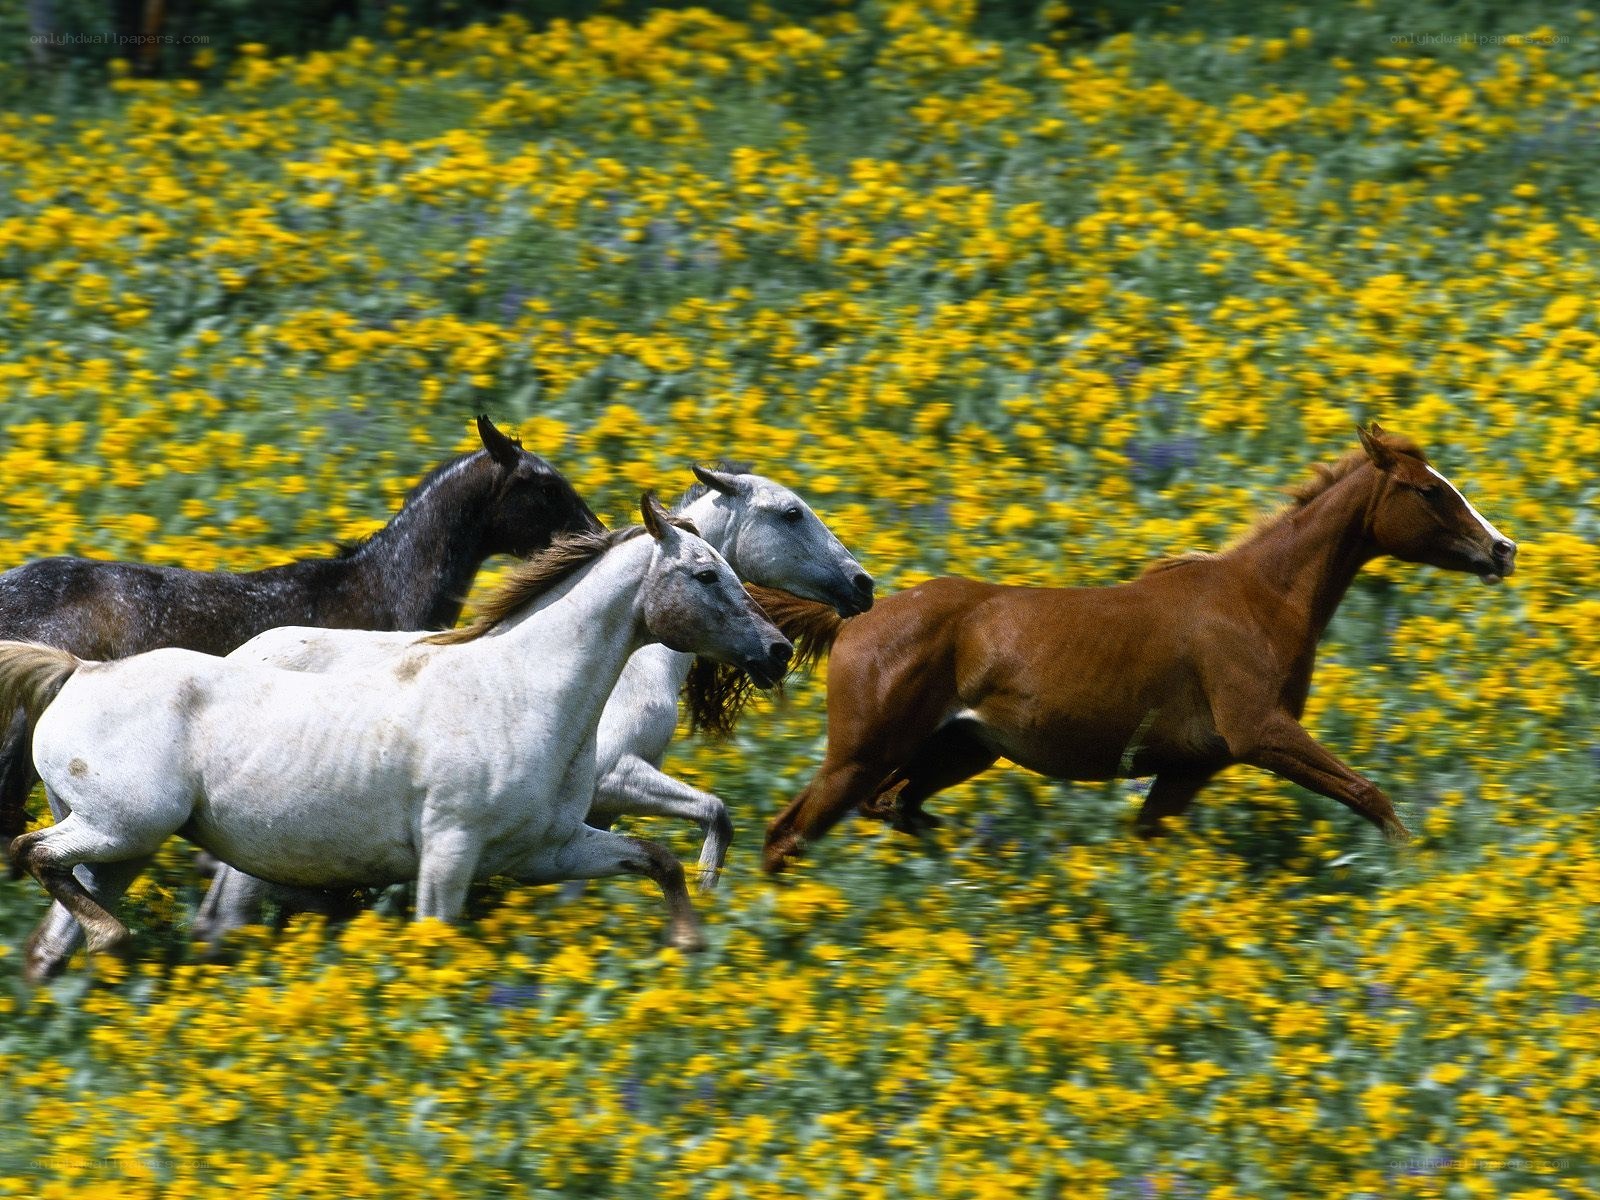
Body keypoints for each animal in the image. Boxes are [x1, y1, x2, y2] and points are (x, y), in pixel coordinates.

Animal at [1, 495, 791, 979]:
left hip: (121, 848)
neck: (519, 691)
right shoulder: (450, 849)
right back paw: (112, 940)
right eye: (704, 574)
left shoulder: (546, 850)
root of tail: (78, 672)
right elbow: (436, 940)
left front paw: (690, 941)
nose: (778, 650)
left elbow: (658, 859)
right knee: (30, 852)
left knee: (49, 937)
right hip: (121, 829)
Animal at [181, 464, 871, 955]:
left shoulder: (578, 819)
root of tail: (240, 652)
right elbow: (712, 812)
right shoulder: (616, 776)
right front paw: (703, 894)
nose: (862, 584)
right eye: (791, 513)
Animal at [757, 425, 1518, 871]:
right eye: (1429, 491)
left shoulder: (1190, 766)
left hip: (959, 750)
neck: (1260, 598)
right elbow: (1370, 795)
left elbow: (1148, 837)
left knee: (894, 807)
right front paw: (1415, 872)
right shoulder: (1260, 732)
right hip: (862, 753)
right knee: (789, 832)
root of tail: (855, 619)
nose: (1503, 549)